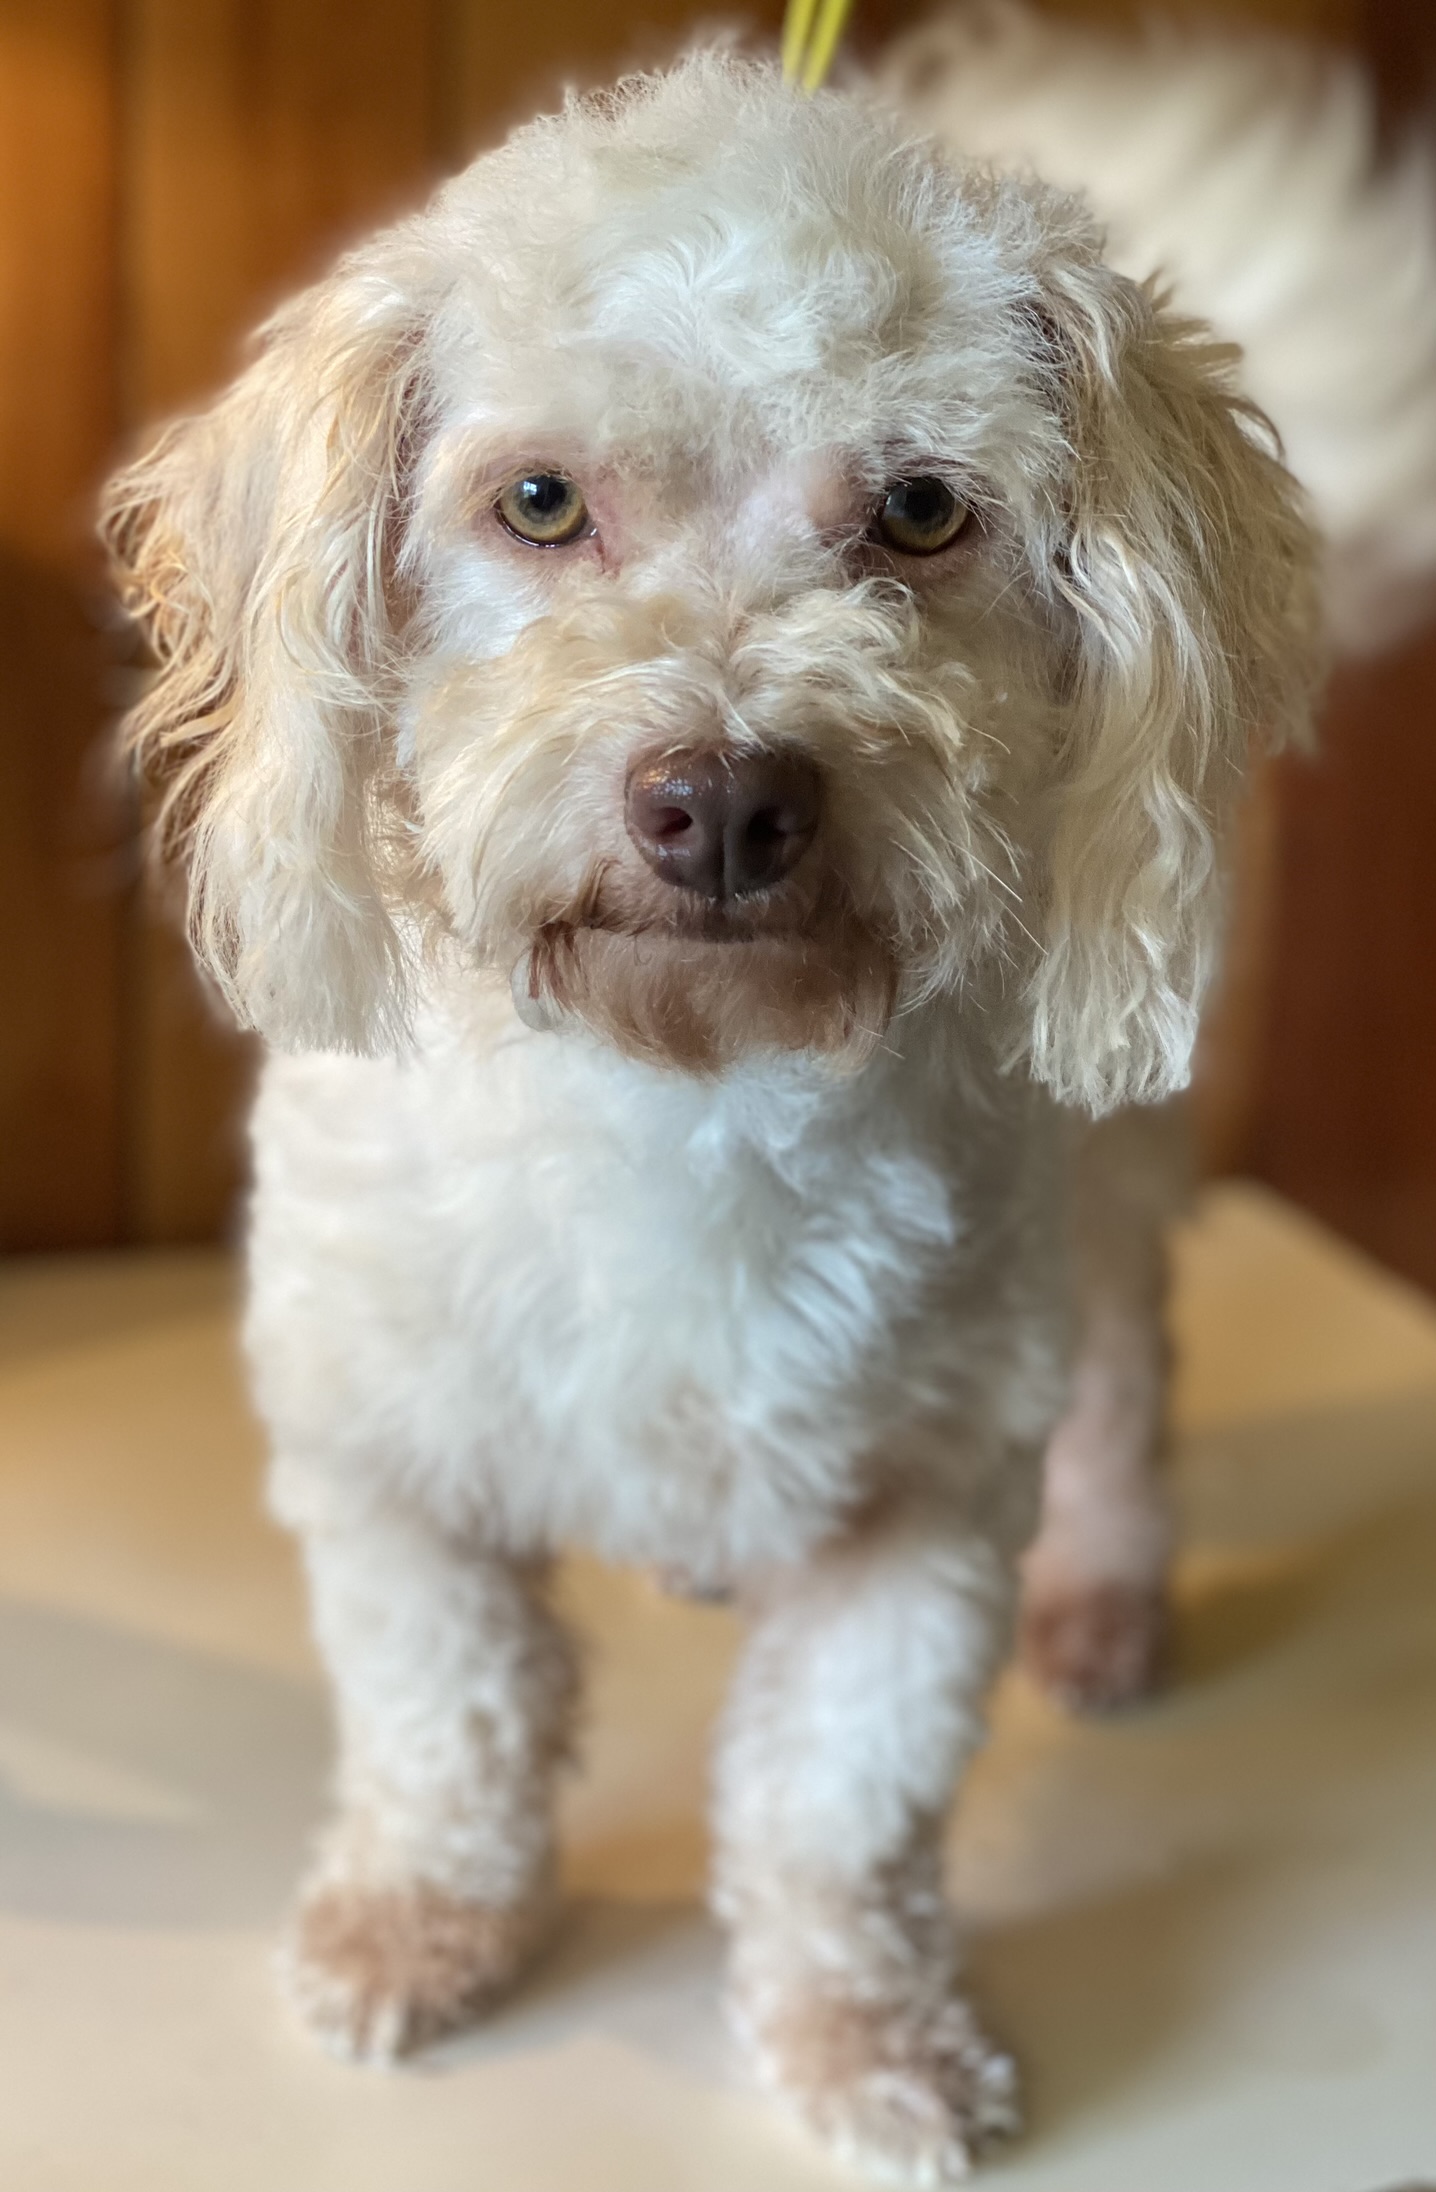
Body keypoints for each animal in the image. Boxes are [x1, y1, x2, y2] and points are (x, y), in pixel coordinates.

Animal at [98, 17, 1429, 2174]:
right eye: (538, 500)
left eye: (919, 509)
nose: (722, 798)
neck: (686, 1080)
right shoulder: (386, 1457)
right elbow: (445, 1723)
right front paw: (420, 1927)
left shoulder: (926, 1507)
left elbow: (835, 1815)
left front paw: (863, 2040)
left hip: (1111, 1181)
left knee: (1130, 1379)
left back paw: (1107, 1591)